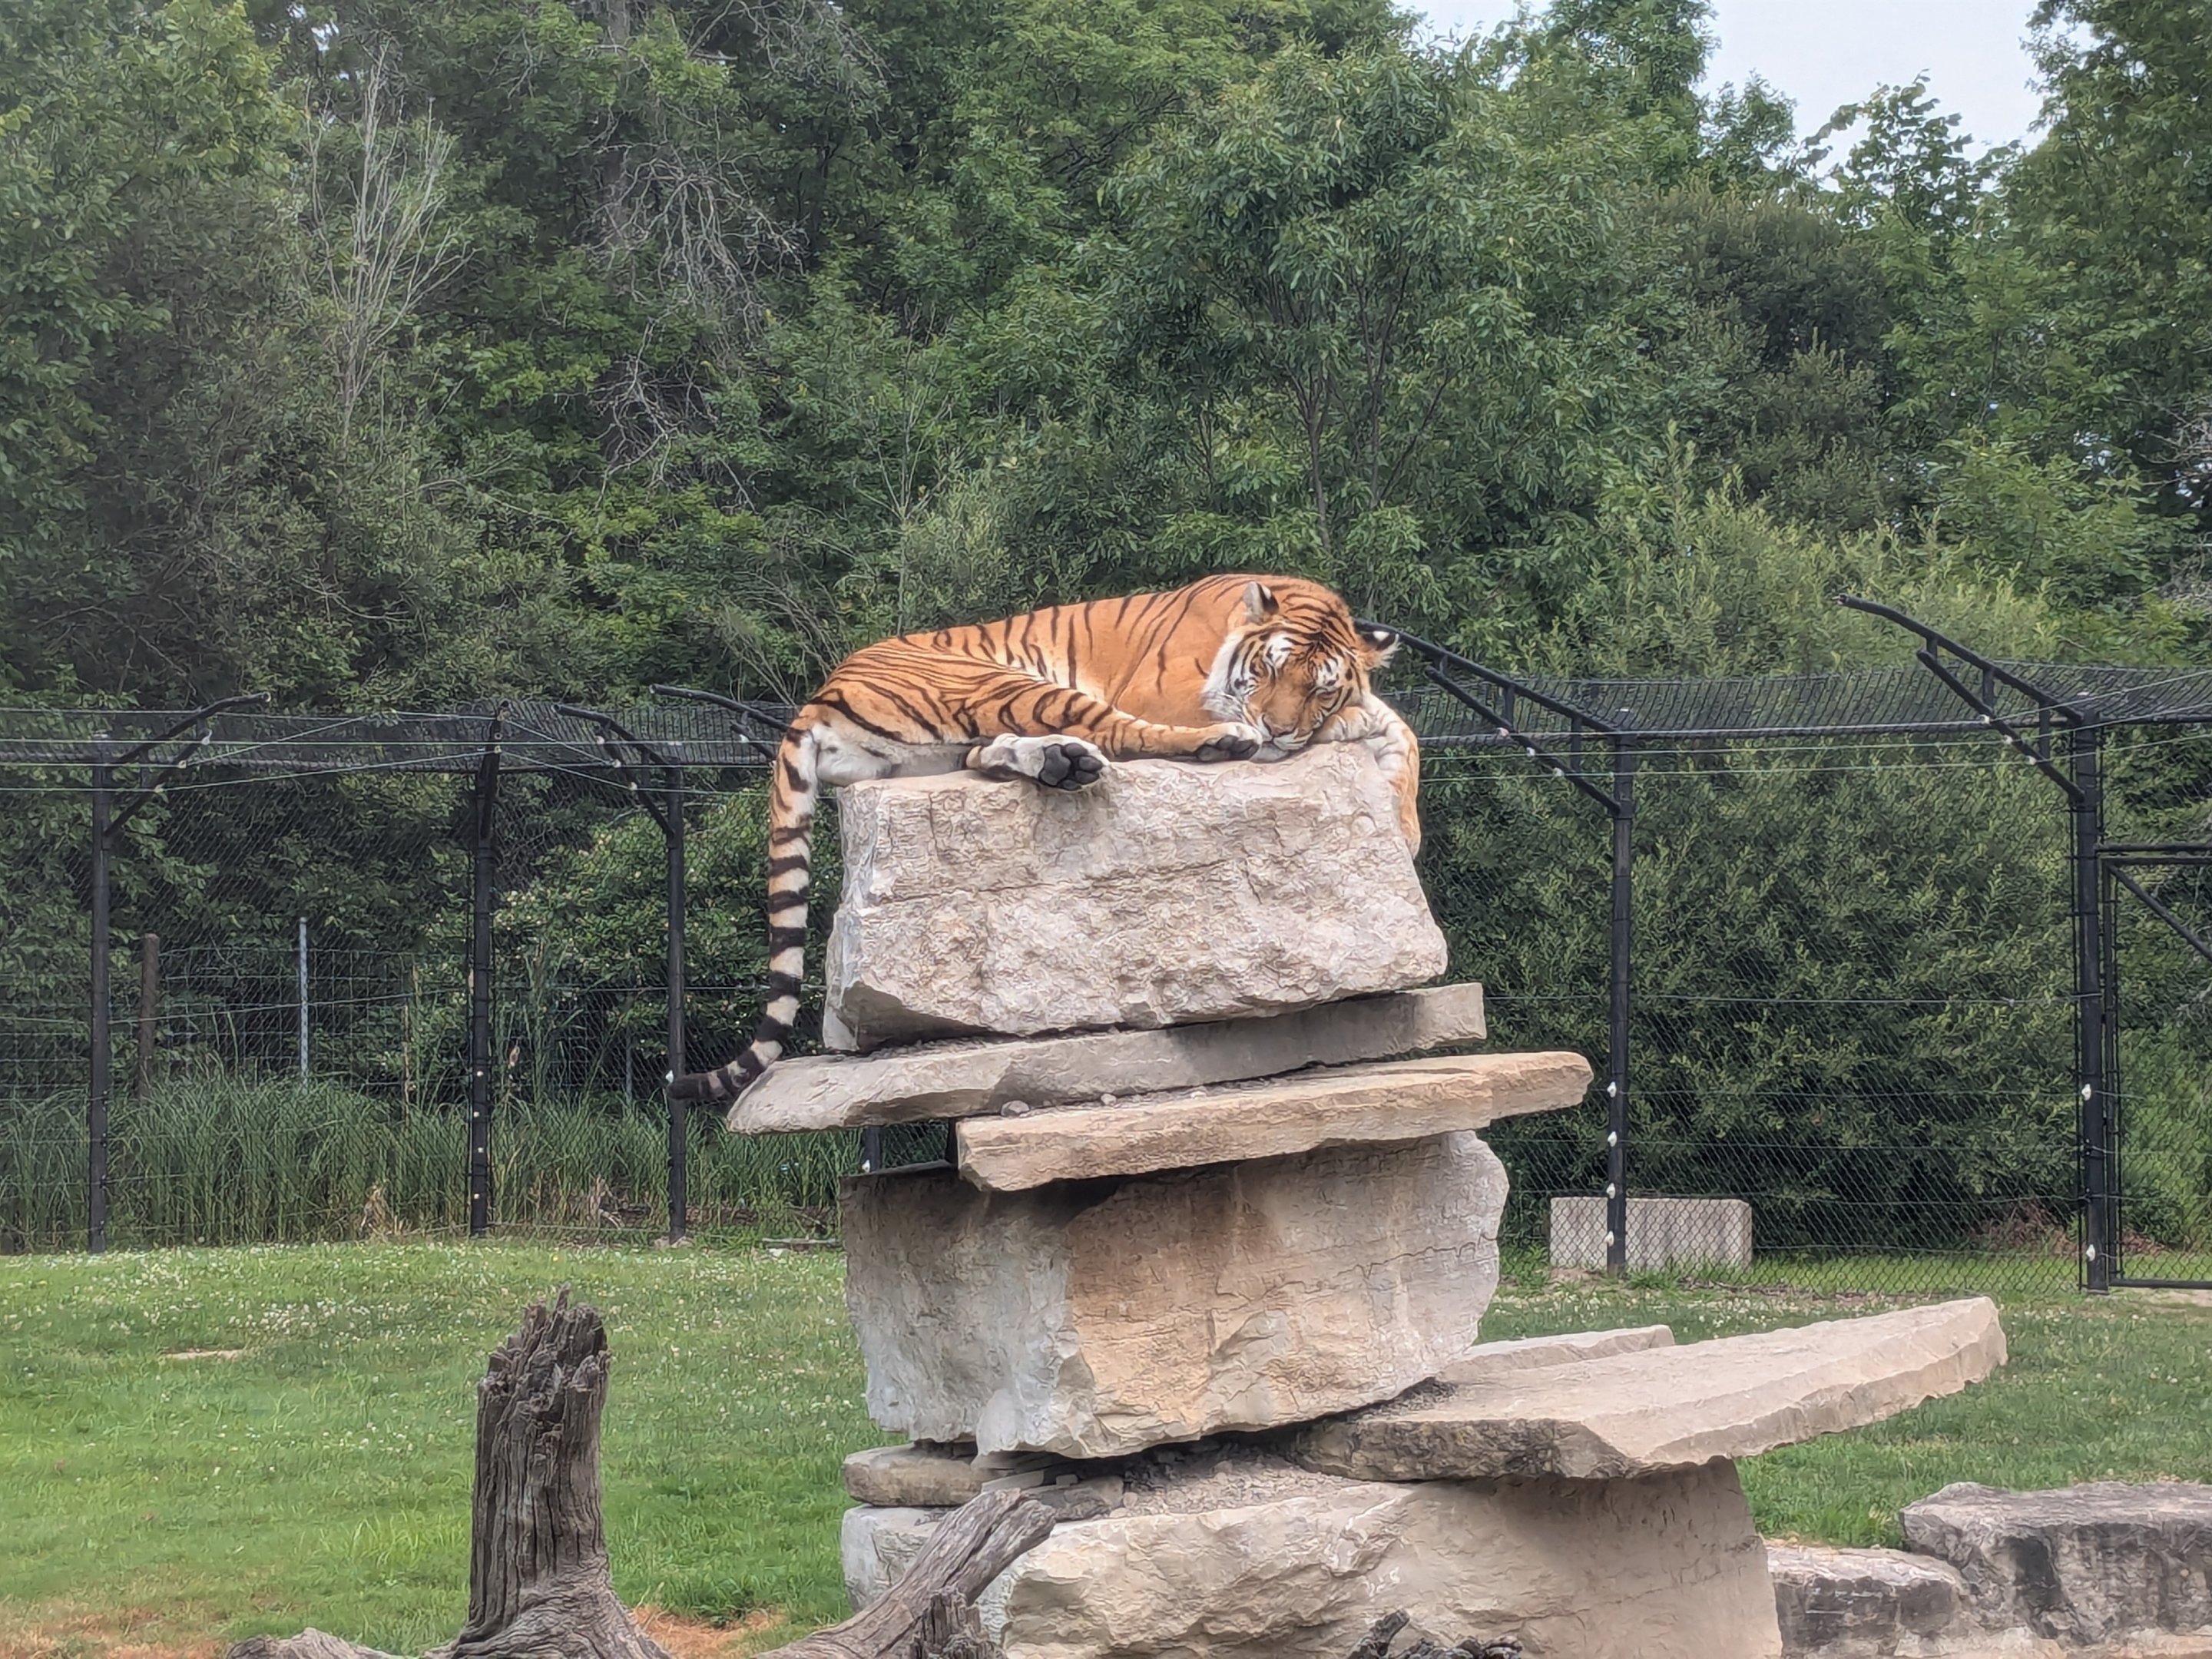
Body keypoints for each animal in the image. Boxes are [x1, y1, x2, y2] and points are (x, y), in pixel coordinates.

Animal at [667, 572, 1420, 1105]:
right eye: (1269, 671)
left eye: (1318, 686)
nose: (1281, 729)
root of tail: (819, 694)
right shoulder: (1165, 694)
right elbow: (1365, 720)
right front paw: (1330, 739)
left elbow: (1401, 727)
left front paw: (1402, 821)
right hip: (1003, 680)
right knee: (1120, 732)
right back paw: (1206, 745)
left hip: (948, 744)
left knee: (994, 754)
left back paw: (1063, 763)